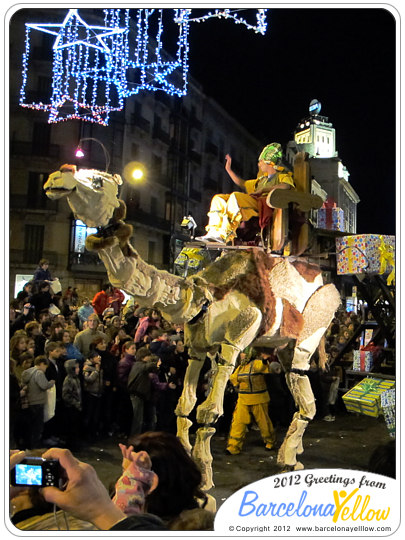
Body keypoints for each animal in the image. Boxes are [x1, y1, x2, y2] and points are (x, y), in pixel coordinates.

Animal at [43, 166, 340, 490]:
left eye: (97, 180)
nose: (57, 177)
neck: (201, 297)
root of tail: (325, 278)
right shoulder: (196, 348)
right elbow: (184, 405)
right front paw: (185, 463)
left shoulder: (236, 337)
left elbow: (208, 411)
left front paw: (205, 478)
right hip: (283, 343)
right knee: (300, 386)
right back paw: (294, 456)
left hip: (312, 327)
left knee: (303, 383)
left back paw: (288, 459)